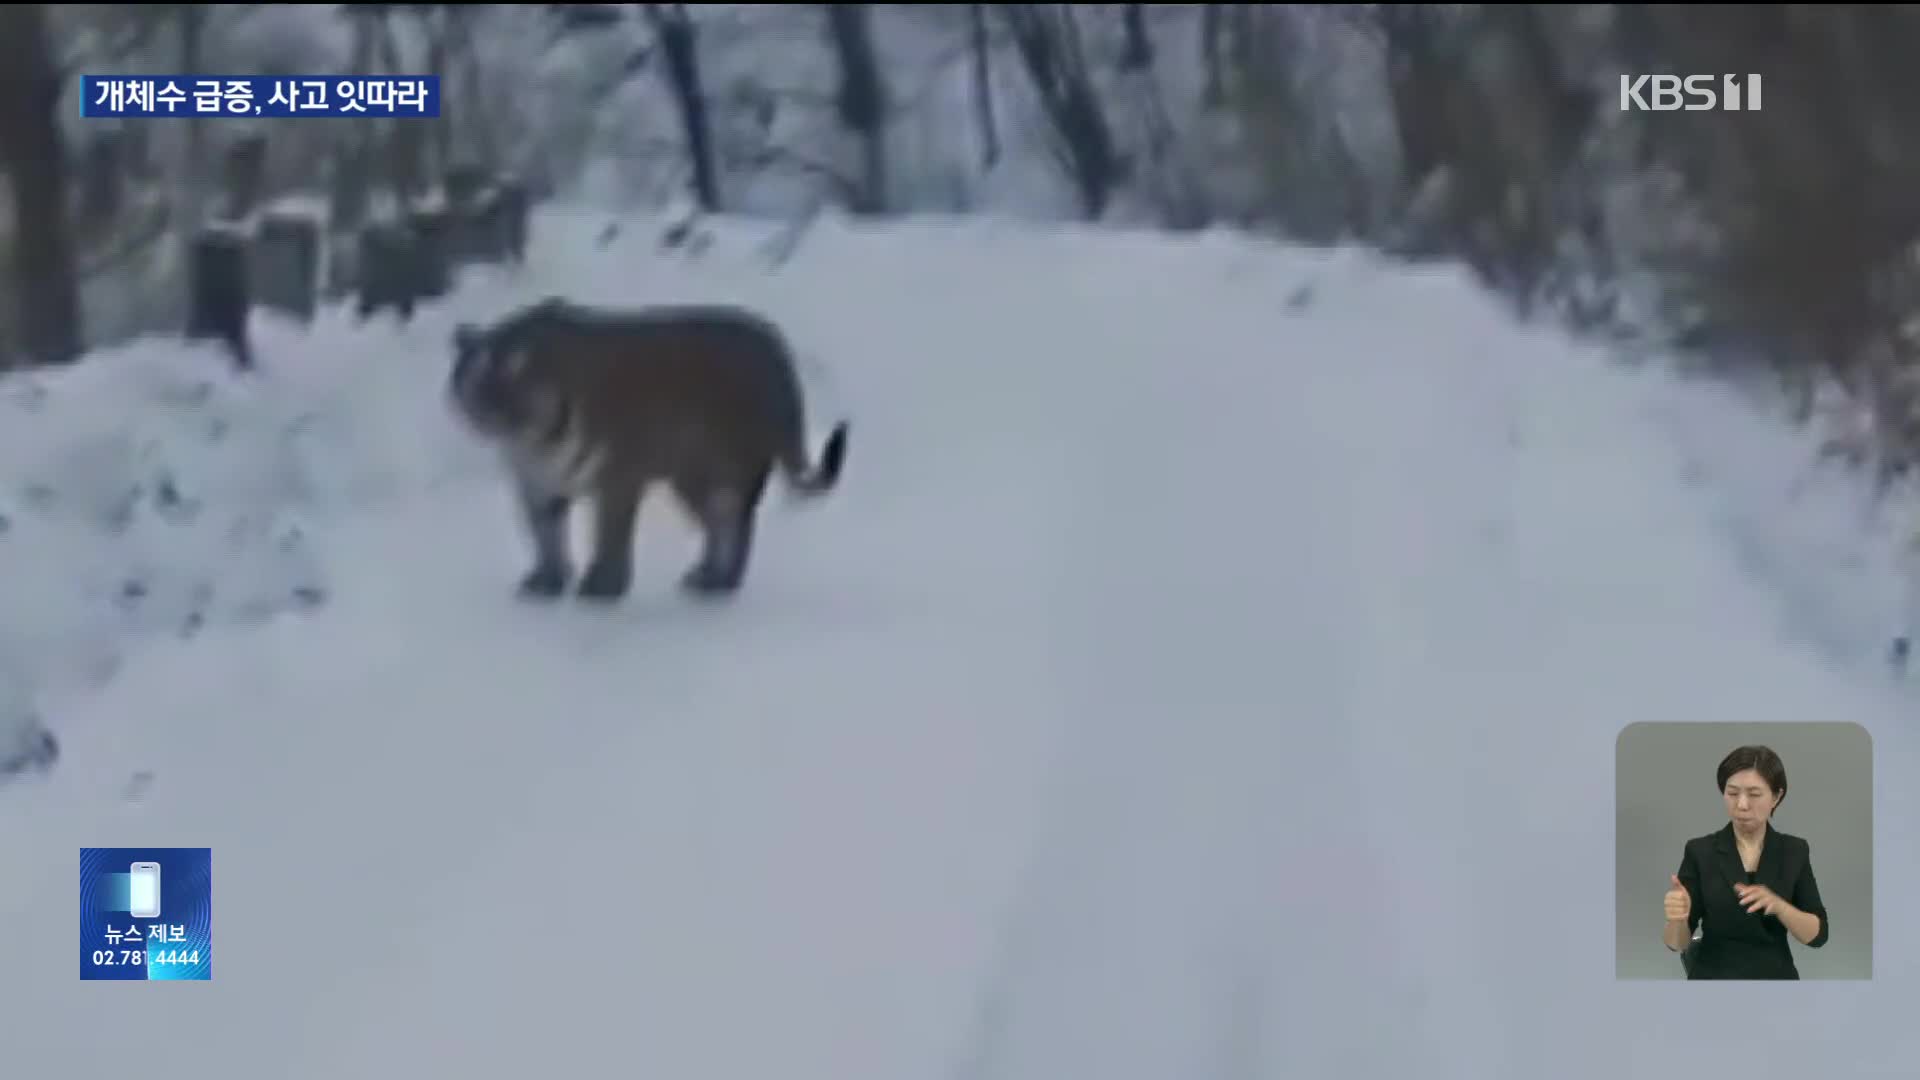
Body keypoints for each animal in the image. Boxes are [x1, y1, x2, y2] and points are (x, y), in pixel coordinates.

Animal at [447, 294, 848, 599]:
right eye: (478, 379)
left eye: (514, 377)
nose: (490, 413)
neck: (535, 442)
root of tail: (777, 349)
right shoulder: (537, 486)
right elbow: (546, 535)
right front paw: (548, 582)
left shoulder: (617, 480)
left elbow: (610, 535)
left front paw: (602, 587)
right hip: (692, 479)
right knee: (719, 524)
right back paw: (705, 575)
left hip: (725, 469)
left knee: (737, 524)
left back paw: (721, 584)